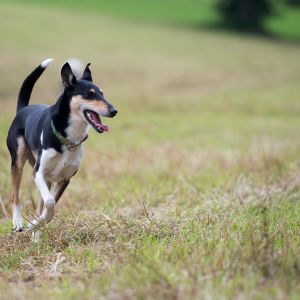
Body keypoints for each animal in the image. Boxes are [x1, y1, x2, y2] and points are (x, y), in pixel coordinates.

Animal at [6, 58, 118, 237]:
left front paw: (36, 224)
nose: (114, 111)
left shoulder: (65, 179)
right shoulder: (38, 172)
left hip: (46, 178)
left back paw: (35, 235)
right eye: (90, 94)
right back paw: (18, 222)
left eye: (102, 93)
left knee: (39, 204)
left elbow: (50, 206)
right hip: (19, 160)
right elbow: (50, 202)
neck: (69, 140)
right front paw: (33, 224)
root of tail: (23, 108)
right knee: (14, 194)